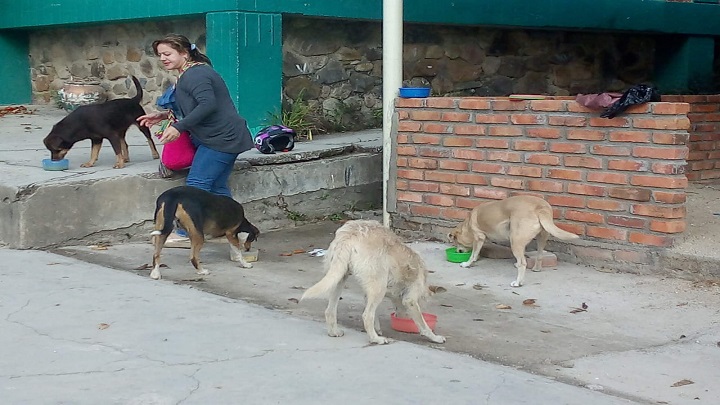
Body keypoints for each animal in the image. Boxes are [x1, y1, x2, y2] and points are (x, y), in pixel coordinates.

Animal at [300, 219, 444, 346]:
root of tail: (350, 235)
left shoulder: (370, 293)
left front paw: (377, 328)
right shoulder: (410, 299)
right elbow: (423, 324)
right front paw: (435, 337)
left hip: (339, 276)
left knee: (330, 310)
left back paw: (334, 332)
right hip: (378, 287)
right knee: (366, 315)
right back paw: (376, 339)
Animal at [450, 194, 580, 286]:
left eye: (457, 243)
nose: (457, 251)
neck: (467, 225)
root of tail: (540, 207)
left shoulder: (479, 237)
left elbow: (473, 254)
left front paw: (467, 263)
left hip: (515, 241)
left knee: (523, 263)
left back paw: (518, 282)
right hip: (542, 237)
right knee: (539, 255)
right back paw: (536, 269)